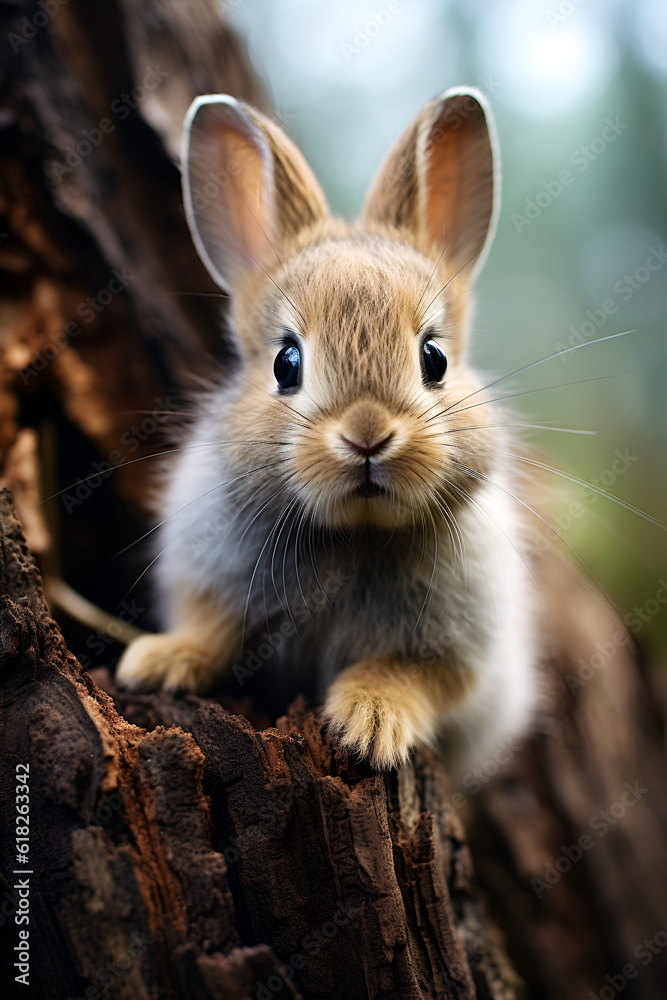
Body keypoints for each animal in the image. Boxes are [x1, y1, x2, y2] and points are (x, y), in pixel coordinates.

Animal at [116, 87, 540, 771]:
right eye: (286, 363)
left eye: (435, 359)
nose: (366, 435)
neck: (353, 533)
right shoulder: (209, 587)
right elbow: (210, 637)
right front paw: (155, 663)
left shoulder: (455, 654)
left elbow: (406, 676)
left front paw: (371, 725)